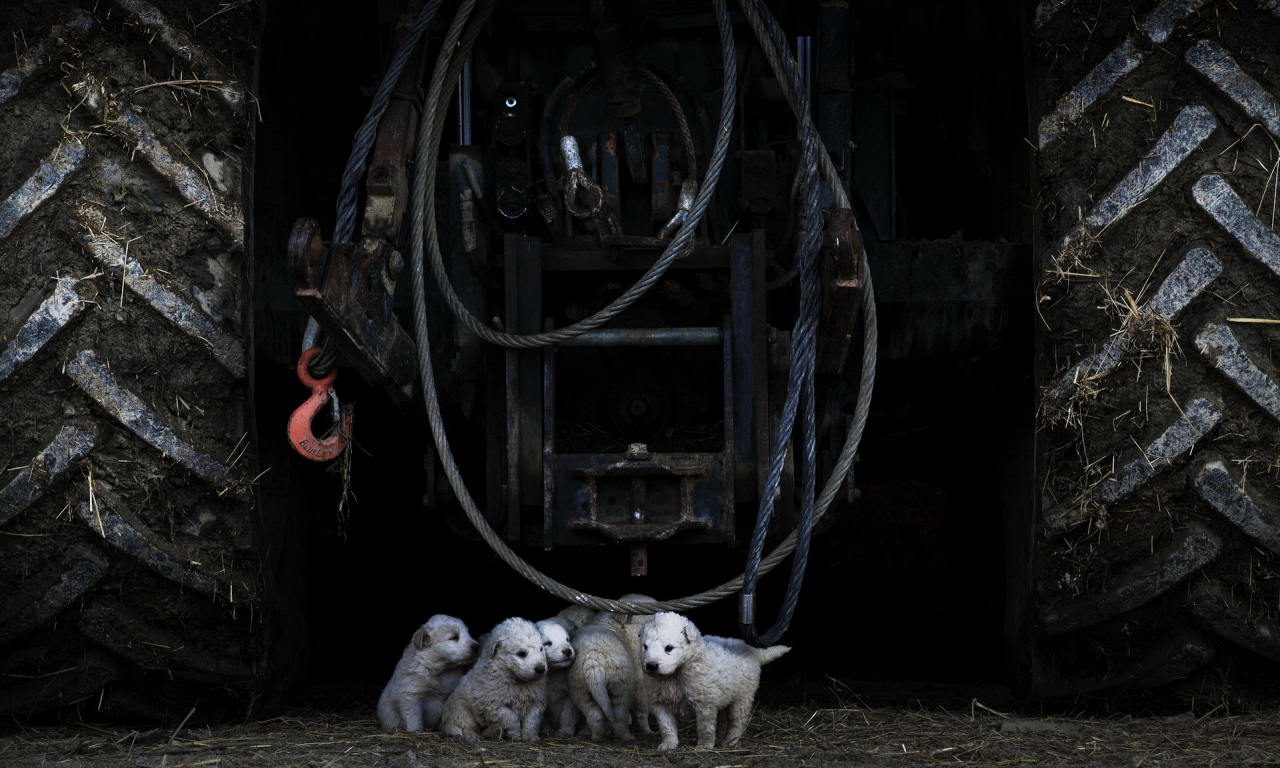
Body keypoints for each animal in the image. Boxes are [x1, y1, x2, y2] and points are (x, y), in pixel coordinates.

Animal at [442, 614, 547, 742]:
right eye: (521, 653)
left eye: (541, 649)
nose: (541, 669)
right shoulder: (493, 704)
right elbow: (511, 718)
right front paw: (515, 735)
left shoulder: (536, 702)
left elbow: (532, 721)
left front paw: (530, 736)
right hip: (461, 709)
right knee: (466, 726)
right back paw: (473, 736)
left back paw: (495, 731)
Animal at [645, 611, 783, 747]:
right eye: (645, 647)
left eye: (669, 648)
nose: (651, 665)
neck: (674, 676)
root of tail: (752, 650)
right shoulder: (660, 703)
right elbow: (666, 726)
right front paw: (668, 745)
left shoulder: (705, 704)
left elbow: (705, 728)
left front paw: (704, 747)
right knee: (722, 721)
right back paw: (719, 741)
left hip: (743, 696)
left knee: (737, 721)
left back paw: (729, 742)